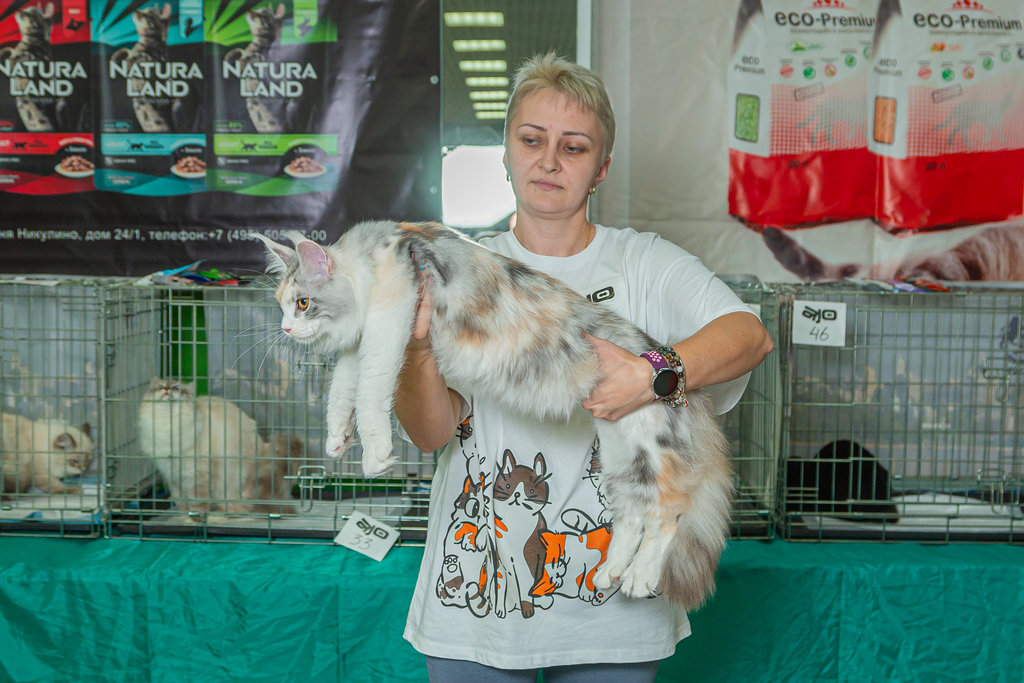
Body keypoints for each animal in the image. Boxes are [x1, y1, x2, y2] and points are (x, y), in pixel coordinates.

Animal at [0, 3, 59, 132]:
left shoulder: (16, 64)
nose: (18, 10)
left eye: (29, 14)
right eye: (25, 9)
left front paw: (4, 51)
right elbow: (10, 50)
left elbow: (10, 53)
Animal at [136, 378, 301, 515]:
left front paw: (195, 517)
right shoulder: (172, 474)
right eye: (160, 387)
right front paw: (183, 515)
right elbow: (180, 499)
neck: (167, 425)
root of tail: (263, 448)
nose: (166, 389)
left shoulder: (198, 473)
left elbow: (198, 501)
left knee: (238, 504)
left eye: (177, 388)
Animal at [222, 4, 300, 134]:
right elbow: (241, 52)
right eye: (257, 10)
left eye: (262, 15)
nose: (250, 11)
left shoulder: (248, 67)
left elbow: (242, 58)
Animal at [257, 220, 734, 609]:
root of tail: (684, 389)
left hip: (649, 452)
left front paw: (375, 456)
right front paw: (337, 439)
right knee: (633, 517)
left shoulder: (387, 322)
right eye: (282, 305)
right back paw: (608, 573)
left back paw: (639, 579)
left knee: (667, 514)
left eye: (303, 303)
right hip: (622, 456)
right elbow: (341, 391)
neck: (372, 257)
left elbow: (371, 392)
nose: (285, 328)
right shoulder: (360, 342)